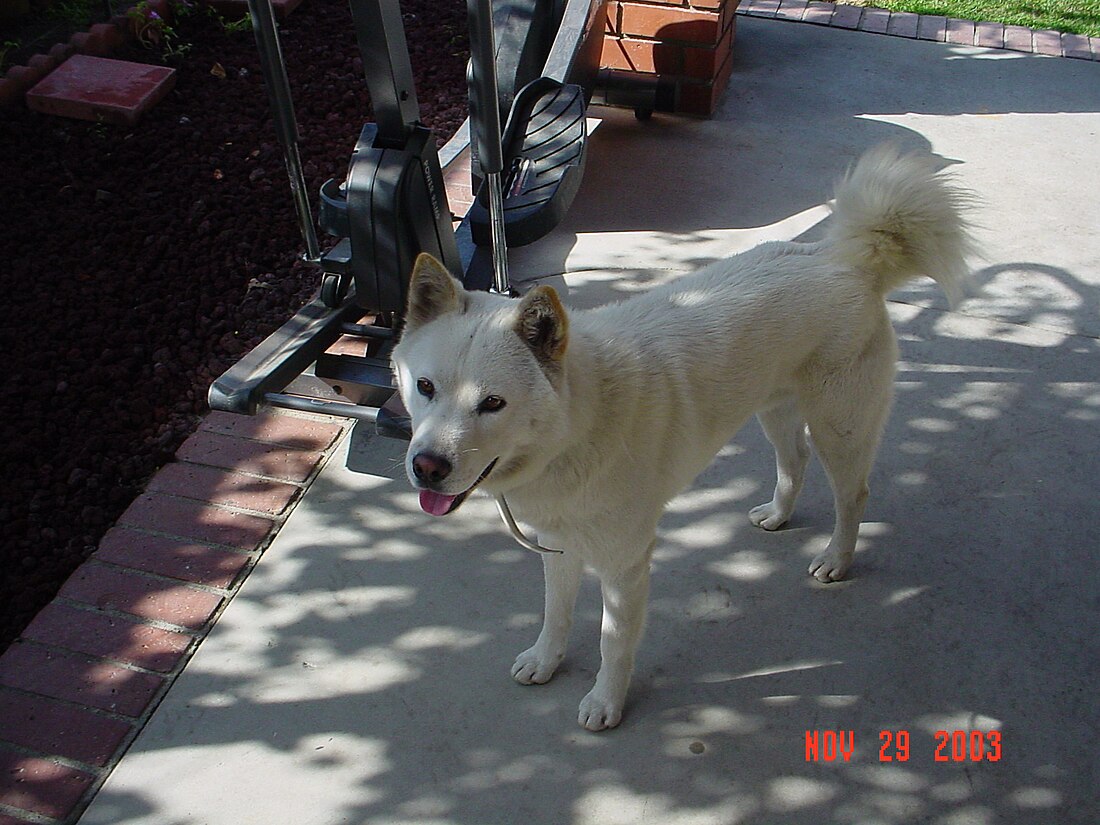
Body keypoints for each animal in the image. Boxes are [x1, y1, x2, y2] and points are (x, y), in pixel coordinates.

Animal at [391, 147, 976, 730]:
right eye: (425, 387)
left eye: (492, 403)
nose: (427, 467)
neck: (575, 427)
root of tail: (845, 259)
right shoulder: (558, 544)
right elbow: (556, 613)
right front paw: (545, 659)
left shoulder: (625, 565)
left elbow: (613, 643)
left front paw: (607, 702)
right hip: (775, 412)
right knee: (795, 461)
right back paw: (778, 514)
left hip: (841, 429)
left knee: (852, 495)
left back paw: (837, 558)